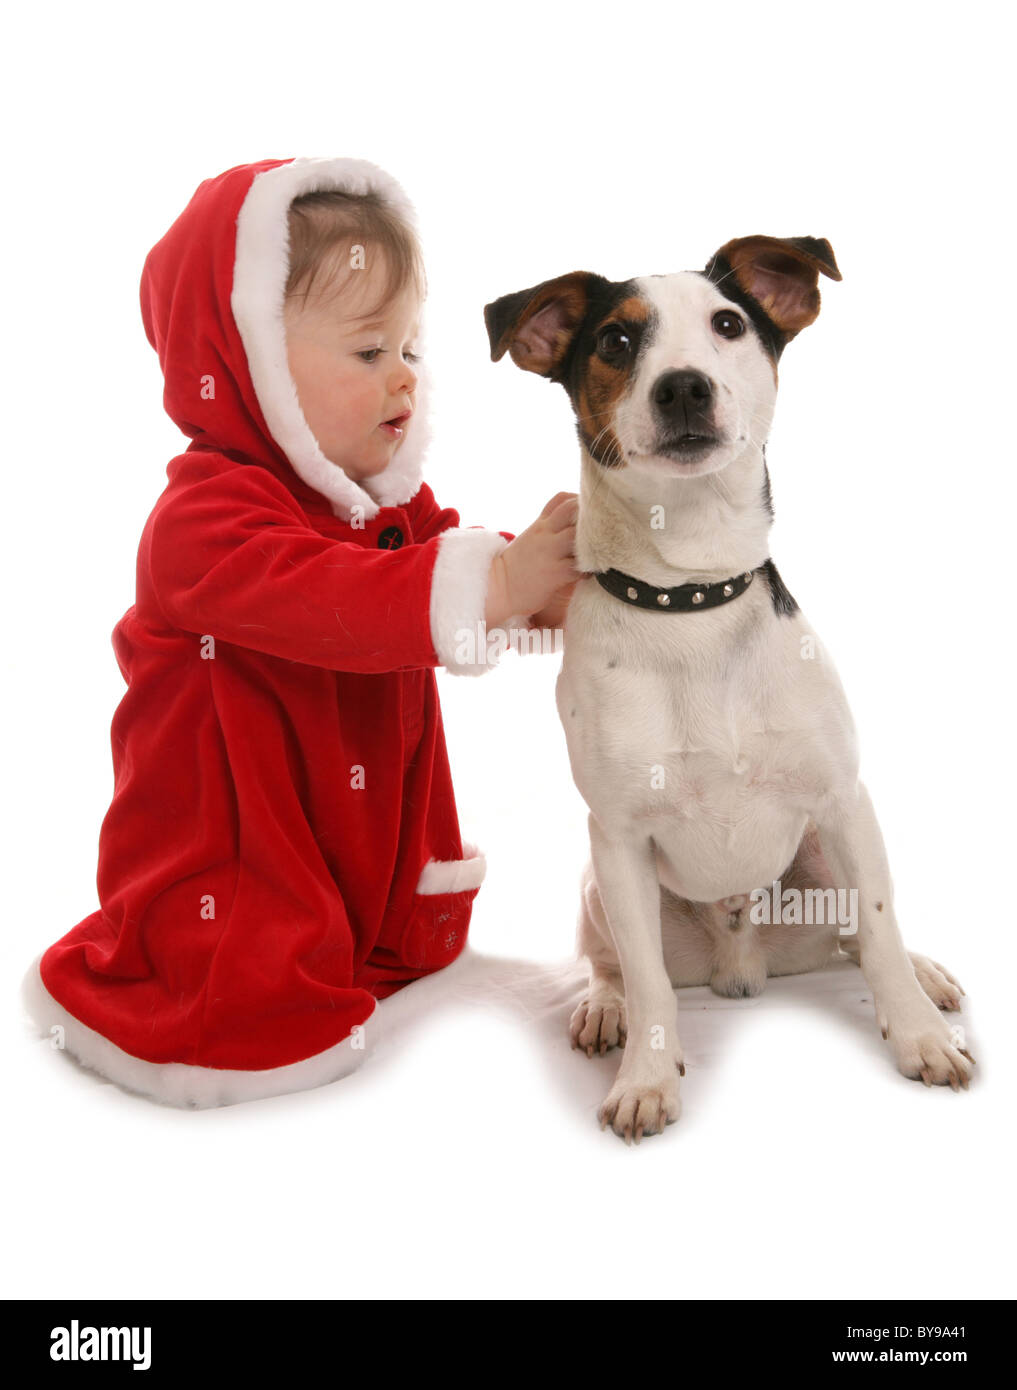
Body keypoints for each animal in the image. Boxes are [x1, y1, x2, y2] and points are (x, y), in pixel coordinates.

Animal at [486, 239, 978, 1145]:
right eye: (613, 341)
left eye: (727, 324)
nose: (683, 386)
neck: (689, 595)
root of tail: (741, 965)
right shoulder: (617, 838)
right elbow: (645, 980)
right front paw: (645, 1079)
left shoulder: (842, 799)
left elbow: (879, 928)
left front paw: (919, 1036)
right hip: (596, 886)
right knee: (609, 963)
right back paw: (602, 1011)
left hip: (820, 855)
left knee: (860, 937)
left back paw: (924, 974)